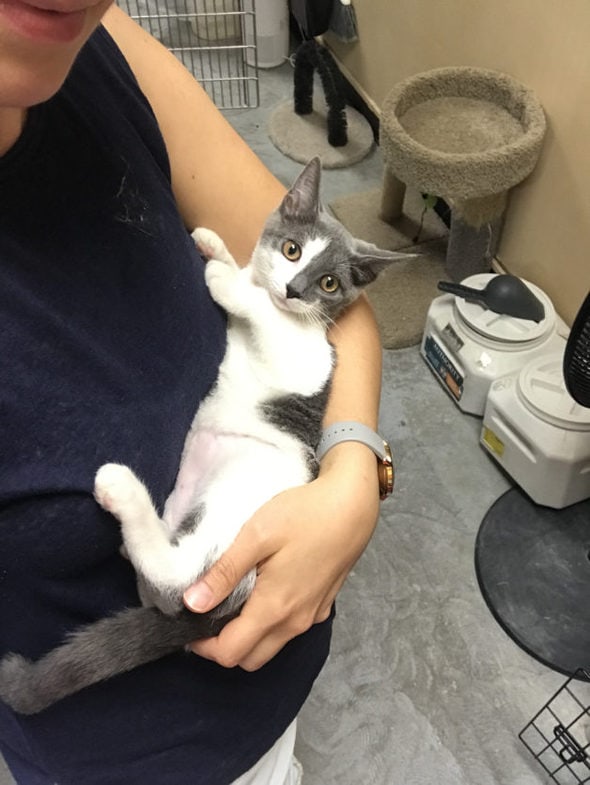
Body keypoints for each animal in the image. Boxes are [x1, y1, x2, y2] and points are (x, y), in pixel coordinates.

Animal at [0, 156, 408, 712]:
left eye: (328, 283)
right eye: (292, 249)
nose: (294, 290)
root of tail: (224, 609)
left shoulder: (306, 359)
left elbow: (264, 313)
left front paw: (226, 280)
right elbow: (249, 276)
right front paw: (218, 249)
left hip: (234, 504)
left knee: (176, 577)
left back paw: (121, 490)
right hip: (188, 499)